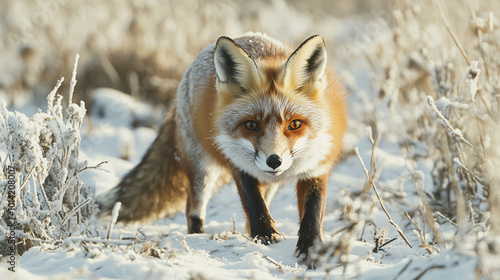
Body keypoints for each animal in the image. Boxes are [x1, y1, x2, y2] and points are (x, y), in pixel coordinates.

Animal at [98, 32, 348, 266]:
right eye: (251, 125)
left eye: (295, 124)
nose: (274, 161)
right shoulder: (238, 161)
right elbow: (253, 202)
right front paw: (266, 235)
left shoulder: (317, 166)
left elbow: (312, 212)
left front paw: (310, 249)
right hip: (203, 171)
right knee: (193, 209)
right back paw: (197, 238)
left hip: (268, 183)